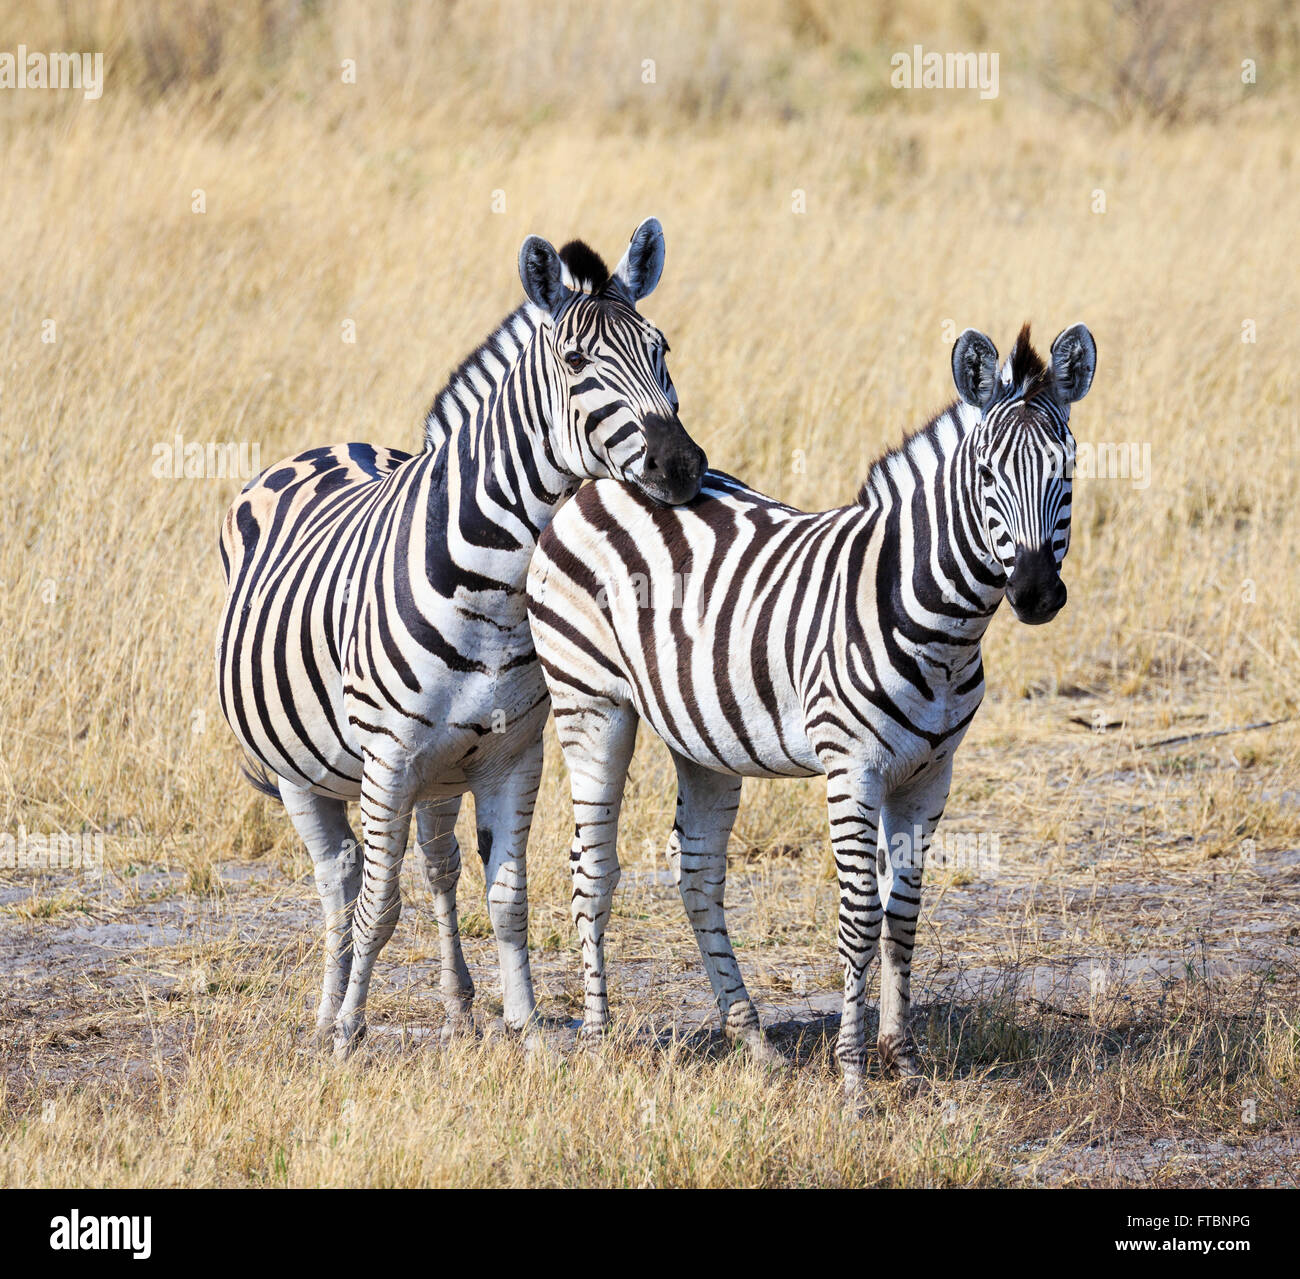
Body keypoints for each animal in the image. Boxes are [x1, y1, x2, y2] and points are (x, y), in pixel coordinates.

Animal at [218, 222, 707, 1060]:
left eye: (662, 348)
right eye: (576, 363)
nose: (680, 467)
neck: (494, 586)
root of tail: (331, 444)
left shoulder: (513, 753)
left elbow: (507, 895)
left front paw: (529, 1028)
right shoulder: (388, 757)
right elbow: (378, 904)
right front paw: (350, 1034)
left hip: (442, 771)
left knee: (439, 866)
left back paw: (458, 1008)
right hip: (301, 770)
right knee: (341, 880)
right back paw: (326, 1015)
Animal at [527, 324, 1097, 1091]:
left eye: (1068, 468)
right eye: (985, 475)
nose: (1036, 594)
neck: (942, 626)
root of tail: (601, 485)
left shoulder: (931, 774)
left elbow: (902, 916)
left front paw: (904, 1060)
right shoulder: (851, 768)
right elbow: (859, 919)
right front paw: (853, 1076)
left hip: (700, 735)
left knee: (698, 873)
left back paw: (753, 1040)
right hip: (589, 702)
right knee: (591, 867)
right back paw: (597, 1040)